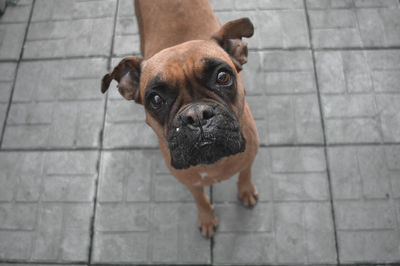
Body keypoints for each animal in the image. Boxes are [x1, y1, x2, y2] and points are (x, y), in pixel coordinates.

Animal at [101, 0, 260, 237]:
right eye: (156, 99)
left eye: (223, 76)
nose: (197, 115)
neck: (213, 163)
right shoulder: (190, 183)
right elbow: (200, 199)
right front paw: (207, 218)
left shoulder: (249, 159)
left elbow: (245, 174)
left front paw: (246, 191)